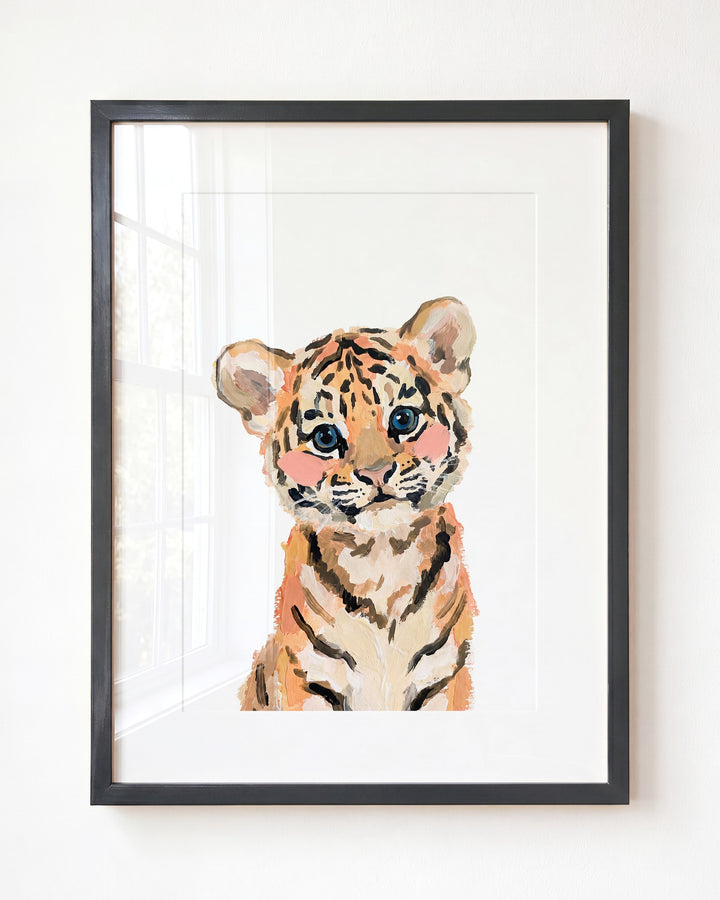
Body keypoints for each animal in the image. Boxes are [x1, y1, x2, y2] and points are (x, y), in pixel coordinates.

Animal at [213, 296, 477, 711]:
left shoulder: (443, 680)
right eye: (325, 437)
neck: (383, 563)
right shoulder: (310, 682)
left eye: (403, 419)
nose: (376, 472)